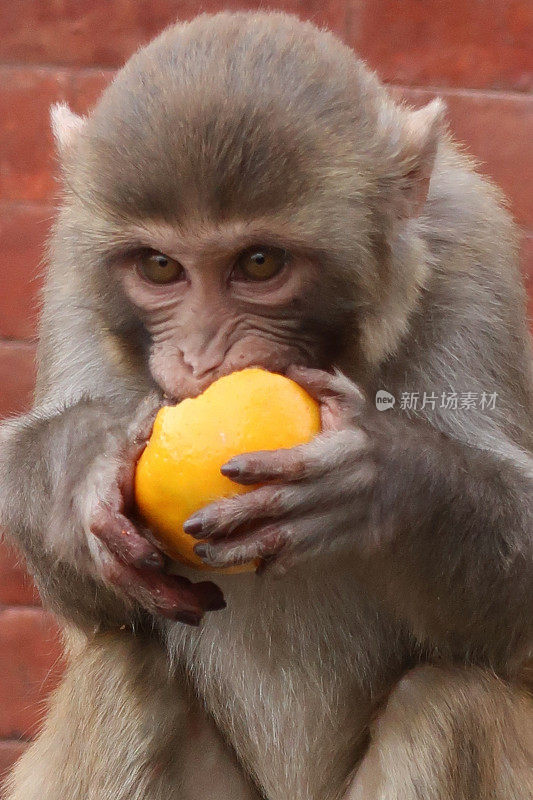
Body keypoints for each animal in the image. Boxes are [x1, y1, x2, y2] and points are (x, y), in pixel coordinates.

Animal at [0, 10, 528, 800]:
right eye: (160, 267)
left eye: (258, 263)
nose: (199, 361)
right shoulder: (72, 261)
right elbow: (84, 602)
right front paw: (81, 469)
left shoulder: (470, 249)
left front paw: (382, 483)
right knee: (124, 679)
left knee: (452, 699)